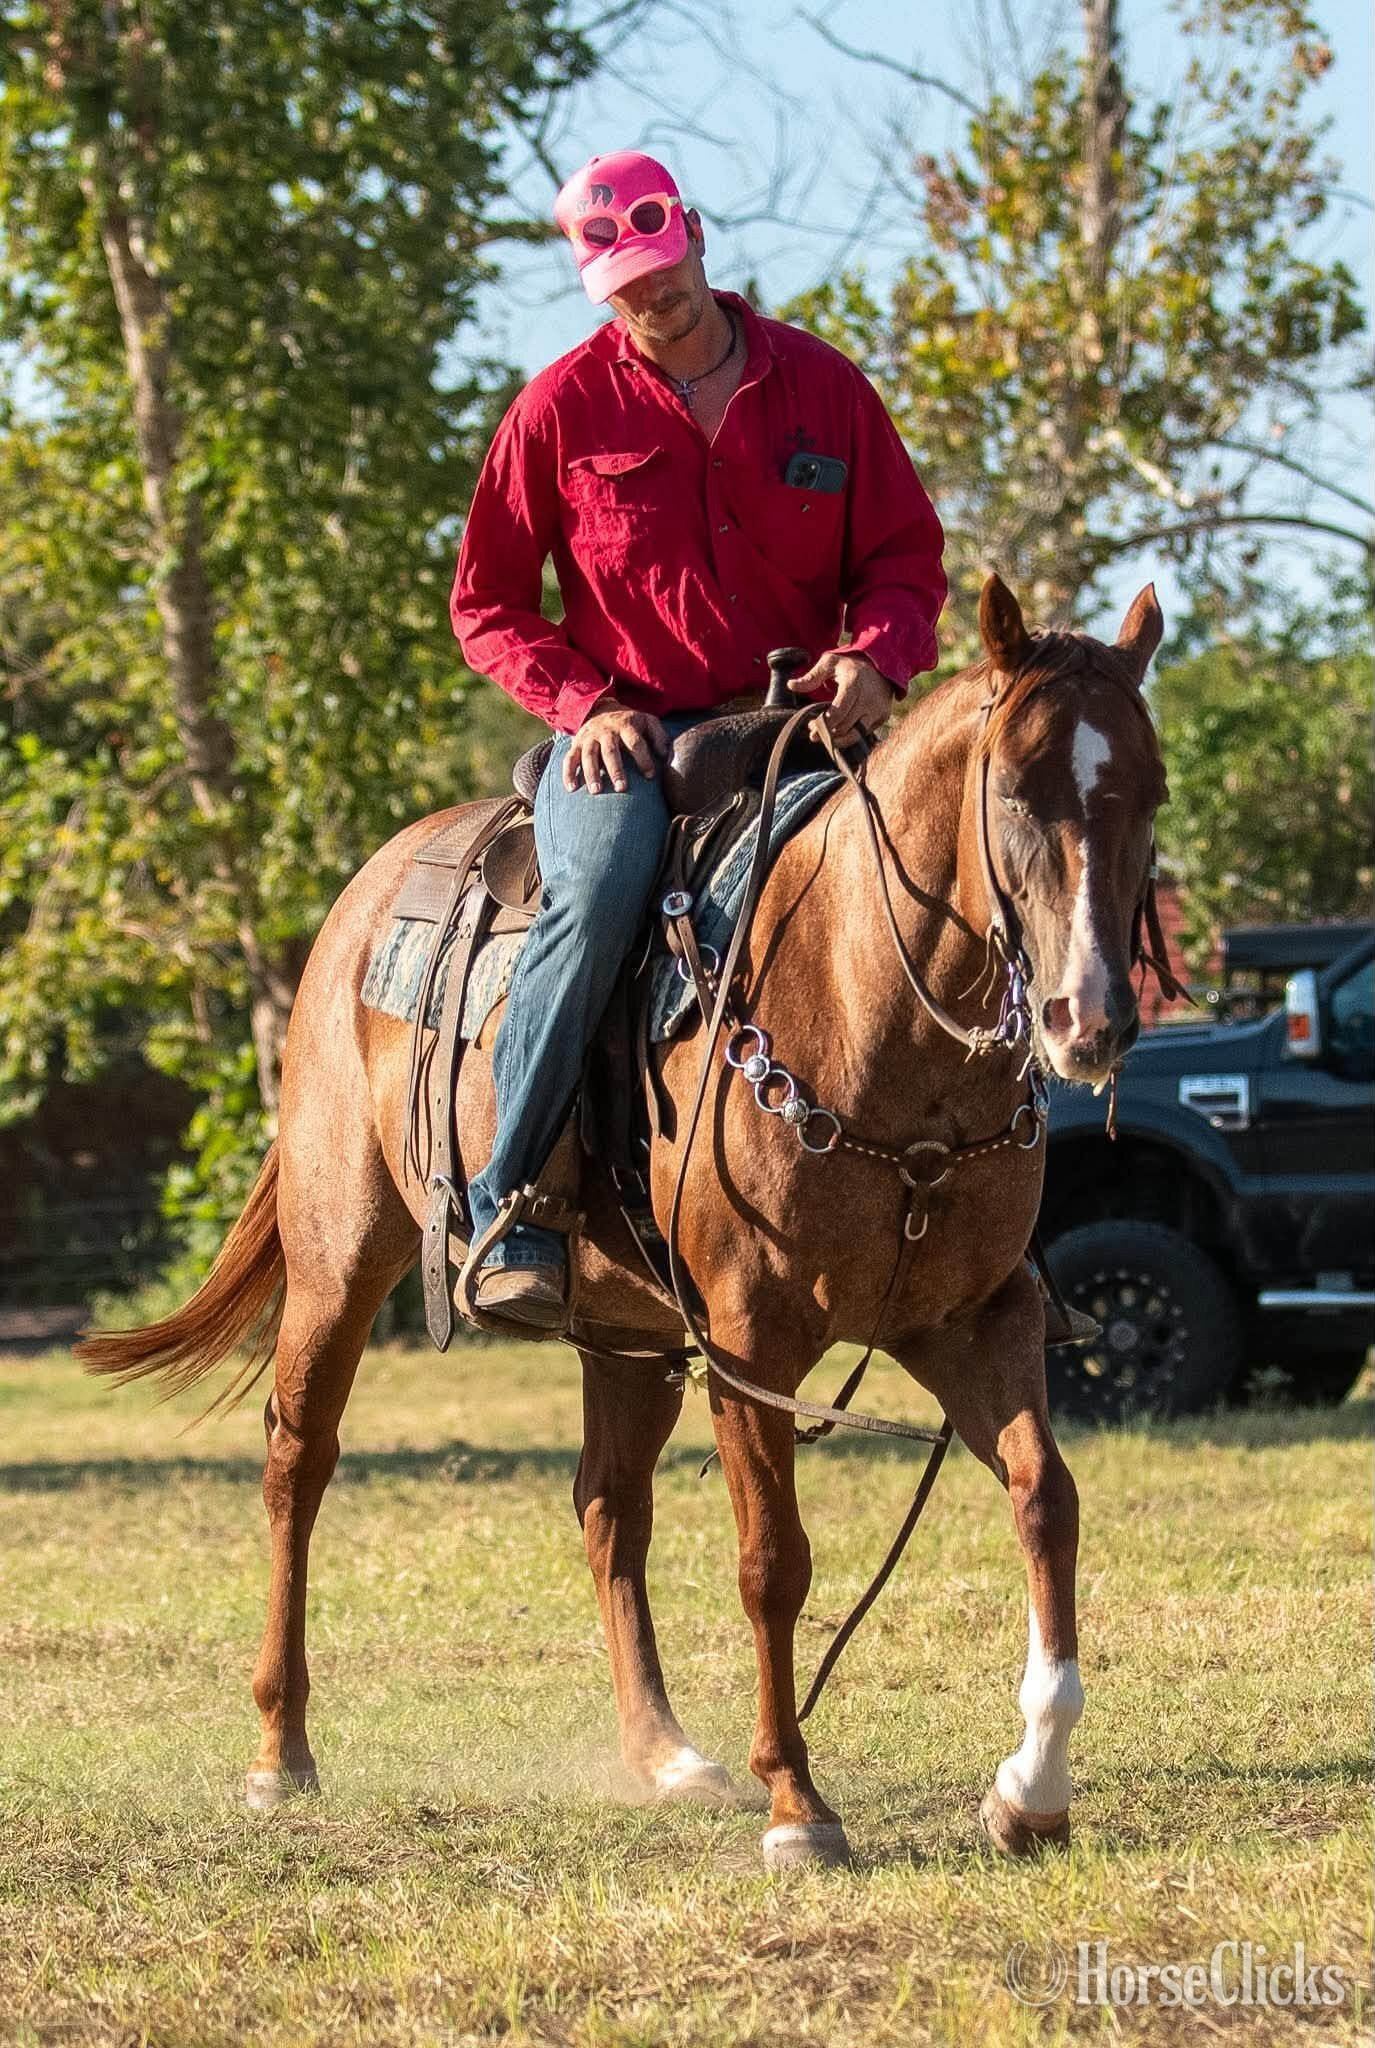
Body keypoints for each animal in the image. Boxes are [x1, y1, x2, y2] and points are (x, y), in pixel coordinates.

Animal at [80, 573, 1171, 1869]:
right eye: (1013, 791)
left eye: (1147, 792)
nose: (1088, 1018)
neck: (868, 1010)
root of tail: (361, 900)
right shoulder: (752, 1344)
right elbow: (772, 1561)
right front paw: (797, 1802)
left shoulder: (977, 1318)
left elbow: (1046, 1501)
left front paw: (1030, 1787)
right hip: (340, 1262)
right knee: (299, 1461)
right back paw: (279, 1749)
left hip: (631, 1331)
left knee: (607, 1505)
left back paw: (665, 1753)